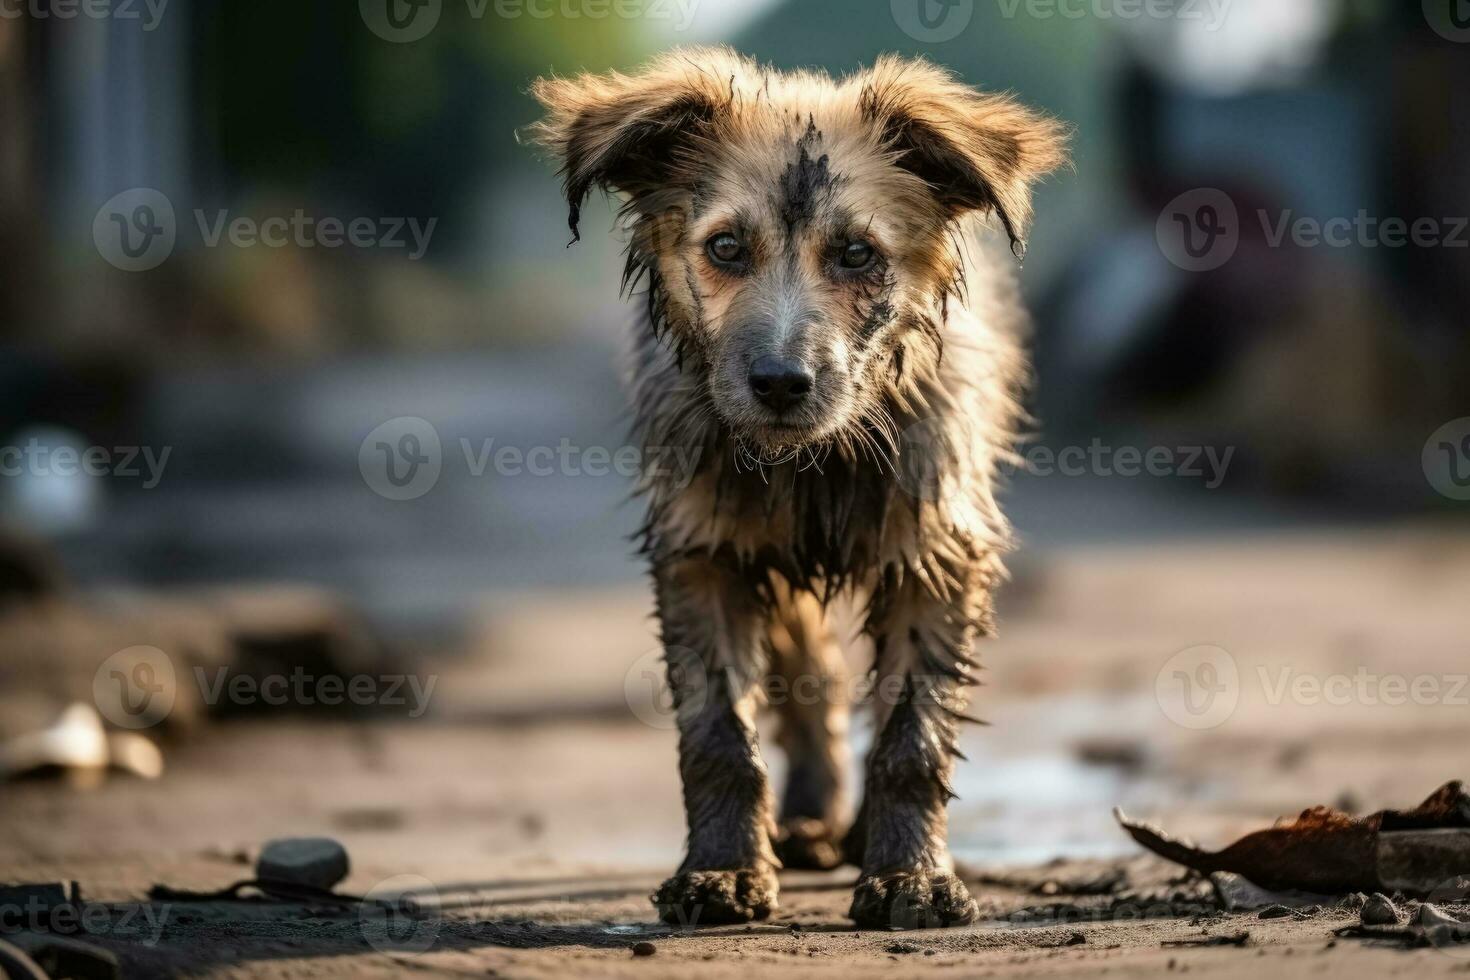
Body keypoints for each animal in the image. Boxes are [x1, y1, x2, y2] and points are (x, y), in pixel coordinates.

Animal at [535, 49, 1064, 934]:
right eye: (725, 247)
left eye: (856, 254)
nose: (781, 383)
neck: (814, 458)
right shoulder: (703, 551)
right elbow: (718, 736)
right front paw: (720, 872)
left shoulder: (938, 552)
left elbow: (912, 737)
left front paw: (910, 877)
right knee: (813, 675)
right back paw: (813, 818)